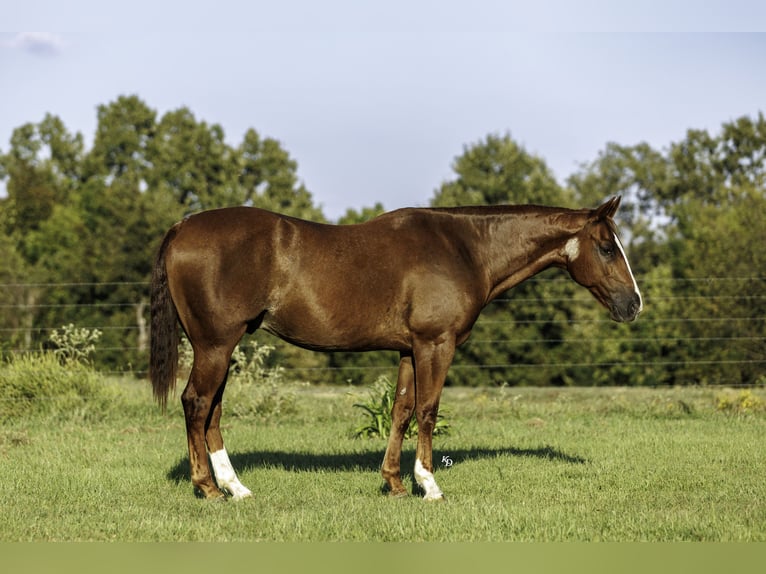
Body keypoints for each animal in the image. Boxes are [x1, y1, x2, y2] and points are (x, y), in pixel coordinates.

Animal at [149, 195, 642, 501]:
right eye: (606, 247)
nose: (633, 304)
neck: (464, 249)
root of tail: (181, 227)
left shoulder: (409, 349)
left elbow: (402, 410)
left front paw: (395, 483)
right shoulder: (435, 344)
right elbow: (428, 410)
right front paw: (429, 485)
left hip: (220, 346)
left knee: (212, 410)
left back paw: (236, 488)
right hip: (215, 344)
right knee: (197, 403)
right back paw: (209, 488)